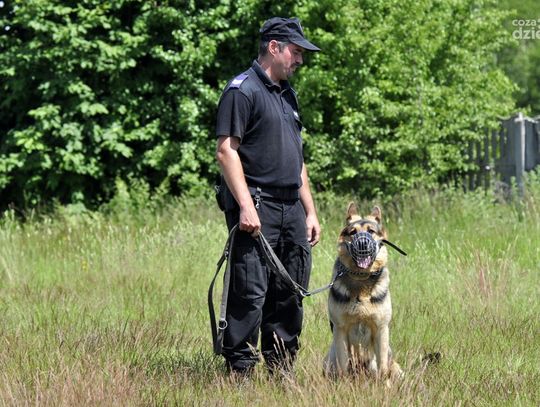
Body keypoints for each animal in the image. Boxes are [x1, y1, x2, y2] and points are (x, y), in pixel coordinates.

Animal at [324, 203, 403, 380]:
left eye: (371, 231)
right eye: (353, 232)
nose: (362, 244)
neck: (361, 279)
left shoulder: (381, 330)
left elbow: (382, 369)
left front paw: (384, 386)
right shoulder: (340, 330)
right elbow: (343, 367)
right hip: (329, 357)